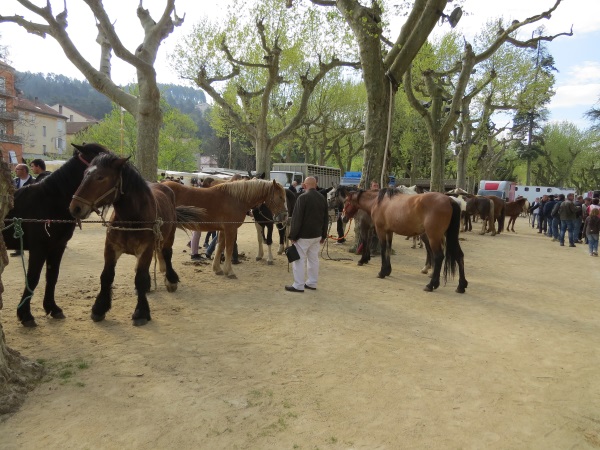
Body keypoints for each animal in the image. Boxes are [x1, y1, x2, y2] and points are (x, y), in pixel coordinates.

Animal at [2, 143, 108, 326]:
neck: (48, 200)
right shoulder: (39, 249)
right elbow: (33, 278)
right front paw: (26, 315)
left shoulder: (57, 247)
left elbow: (52, 276)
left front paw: (53, 308)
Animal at [69, 153, 206, 326]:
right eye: (85, 173)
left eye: (100, 177)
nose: (75, 207)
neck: (131, 218)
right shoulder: (111, 248)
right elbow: (106, 276)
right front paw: (99, 308)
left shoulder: (145, 249)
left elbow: (140, 278)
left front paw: (141, 312)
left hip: (169, 236)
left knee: (167, 254)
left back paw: (171, 279)